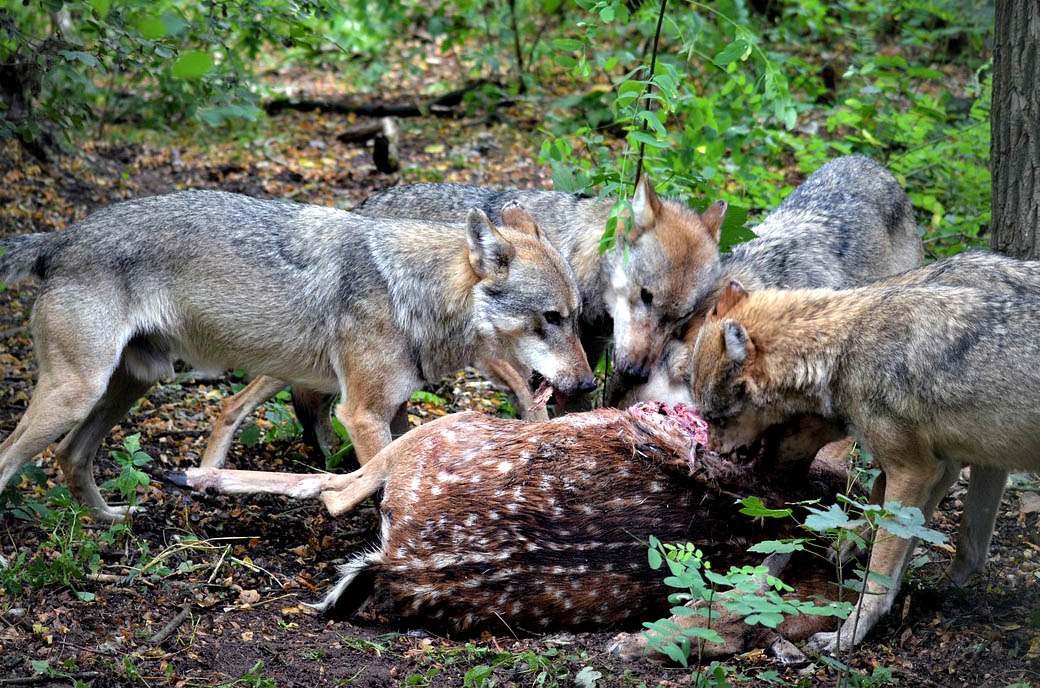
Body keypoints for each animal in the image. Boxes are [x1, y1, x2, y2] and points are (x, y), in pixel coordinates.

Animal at [0, 191, 594, 519]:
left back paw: (111, 521)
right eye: (552, 318)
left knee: (70, 457)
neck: (411, 292)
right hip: (77, 394)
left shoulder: (395, 413)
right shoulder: (361, 414)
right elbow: (379, 483)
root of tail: (60, 238)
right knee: (11, 459)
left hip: (129, 385)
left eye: (576, 315)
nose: (589, 386)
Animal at [690, 249, 1040, 652]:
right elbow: (922, 533)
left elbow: (880, 572)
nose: (709, 453)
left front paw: (848, 634)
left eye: (715, 418)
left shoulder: (916, 470)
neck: (843, 348)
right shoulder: (945, 465)